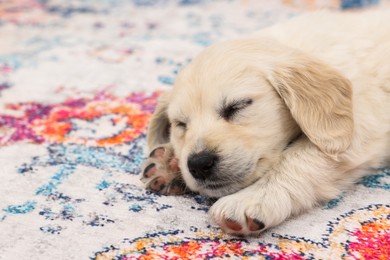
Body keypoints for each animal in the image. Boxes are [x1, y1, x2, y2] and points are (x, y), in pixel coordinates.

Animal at [140, 11, 390, 236]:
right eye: (181, 124)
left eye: (237, 106)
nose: (199, 164)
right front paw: (169, 164)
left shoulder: (360, 123)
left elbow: (300, 157)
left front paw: (251, 199)